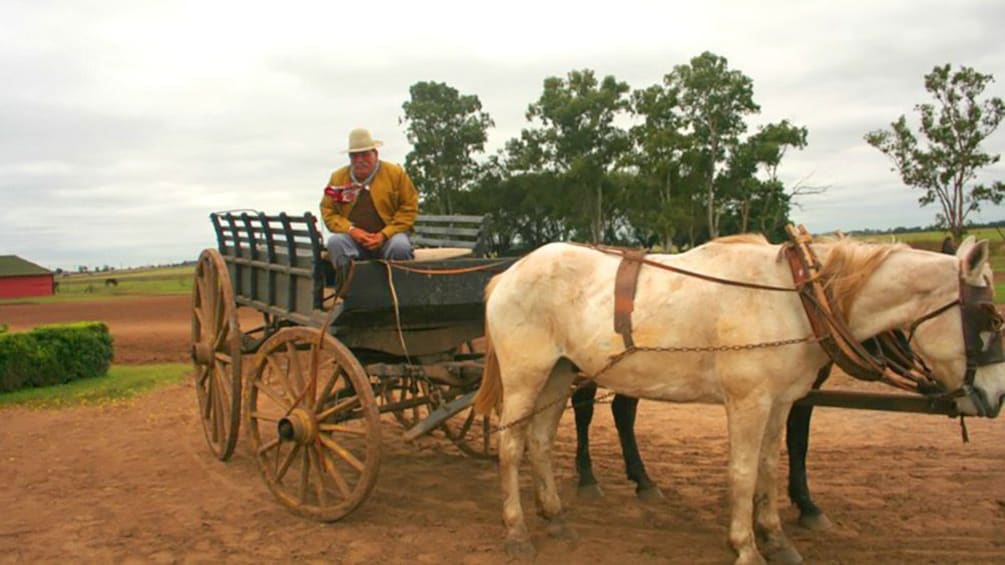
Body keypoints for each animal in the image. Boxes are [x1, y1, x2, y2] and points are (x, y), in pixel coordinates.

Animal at [472, 233, 1005, 562]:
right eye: (988, 317)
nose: (996, 397)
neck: (795, 297)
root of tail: (509, 273)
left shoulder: (782, 401)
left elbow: (770, 466)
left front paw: (777, 536)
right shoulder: (749, 401)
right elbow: (744, 472)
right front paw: (746, 546)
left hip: (560, 374)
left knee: (540, 443)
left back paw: (556, 517)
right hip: (526, 375)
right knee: (512, 446)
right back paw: (517, 531)